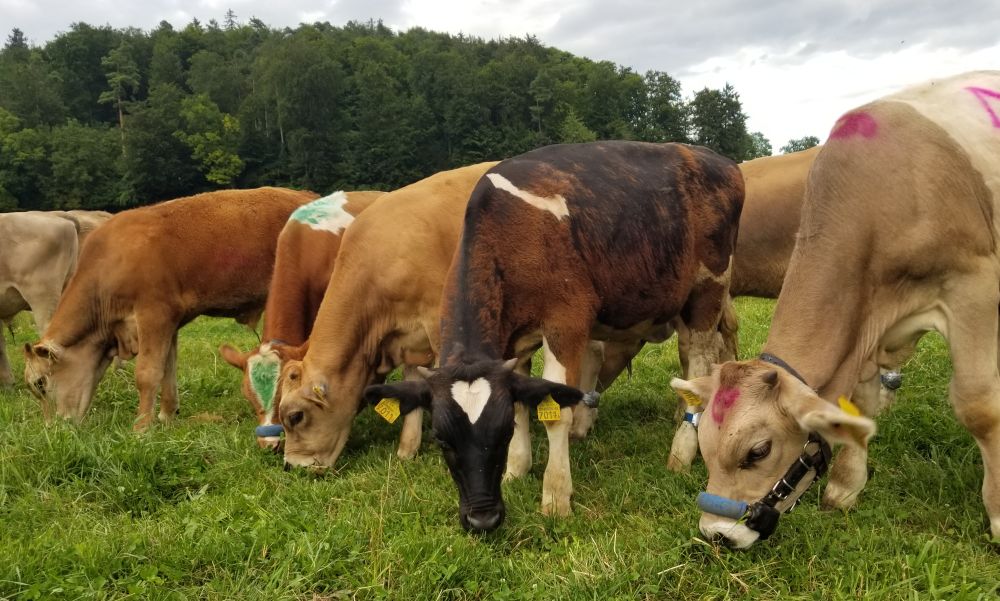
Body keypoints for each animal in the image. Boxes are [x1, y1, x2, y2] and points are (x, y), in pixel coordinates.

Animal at [22, 187, 317, 428]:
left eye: (41, 383)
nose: (55, 428)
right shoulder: (169, 323)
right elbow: (167, 368)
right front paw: (165, 416)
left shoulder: (153, 315)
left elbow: (147, 373)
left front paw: (142, 427)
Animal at [365, 141, 744, 532]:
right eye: (441, 438)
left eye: (499, 433)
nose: (483, 518)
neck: (509, 232)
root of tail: (716, 159)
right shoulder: (513, 344)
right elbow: (521, 404)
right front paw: (516, 470)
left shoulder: (567, 322)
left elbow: (556, 411)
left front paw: (555, 495)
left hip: (708, 289)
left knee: (699, 363)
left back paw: (681, 451)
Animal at [670, 71, 1000, 548]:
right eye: (707, 450)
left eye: (758, 451)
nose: (717, 534)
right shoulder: (870, 321)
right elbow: (857, 405)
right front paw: (845, 487)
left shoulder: (973, 285)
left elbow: (979, 405)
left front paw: (997, 512)